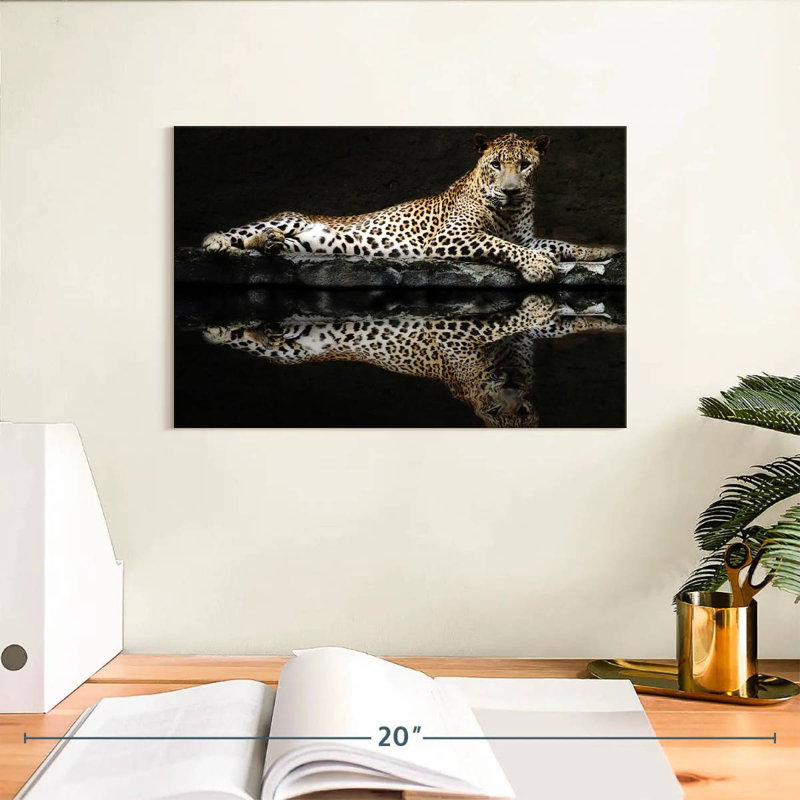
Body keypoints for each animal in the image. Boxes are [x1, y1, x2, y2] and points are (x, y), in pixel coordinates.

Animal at [201, 132, 618, 284]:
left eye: (526, 165)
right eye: (497, 164)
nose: (512, 191)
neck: (511, 212)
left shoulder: (527, 237)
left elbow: (560, 243)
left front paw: (602, 250)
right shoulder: (453, 236)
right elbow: (502, 246)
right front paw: (537, 268)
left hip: (307, 242)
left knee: (265, 242)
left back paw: (270, 243)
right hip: (288, 218)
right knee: (239, 234)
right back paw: (220, 243)